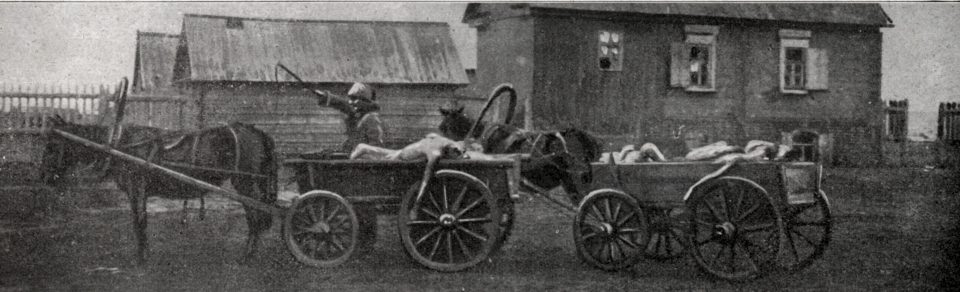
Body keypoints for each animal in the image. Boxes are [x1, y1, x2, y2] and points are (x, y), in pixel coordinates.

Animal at [45, 115, 278, 264]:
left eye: (52, 145)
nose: (45, 177)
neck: (119, 144)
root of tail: (257, 131)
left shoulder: (137, 188)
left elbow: (140, 221)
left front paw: (142, 258)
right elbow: (140, 221)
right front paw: (144, 254)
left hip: (246, 184)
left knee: (255, 218)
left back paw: (247, 256)